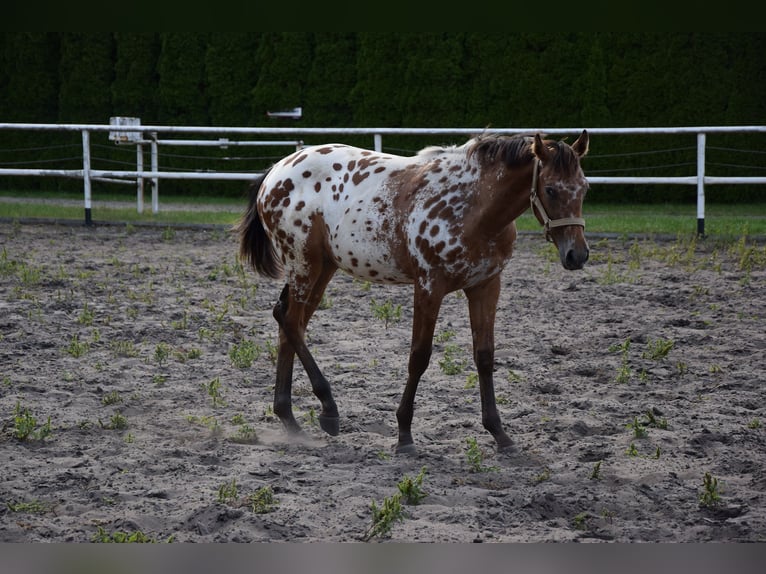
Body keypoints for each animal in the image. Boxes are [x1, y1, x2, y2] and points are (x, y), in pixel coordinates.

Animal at [236, 130, 590, 454]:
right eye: (550, 189)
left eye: (584, 187)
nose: (577, 255)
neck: (475, 207)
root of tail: (278, 169)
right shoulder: (429, 287)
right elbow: (419, 356)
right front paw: (404, 434)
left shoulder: (486, 286)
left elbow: (485, 356)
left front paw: (499, 433)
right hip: (304, 264)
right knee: (290, 321)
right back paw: (328, 409)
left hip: (322, 268)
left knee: (288, 322)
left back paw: (290, 419)